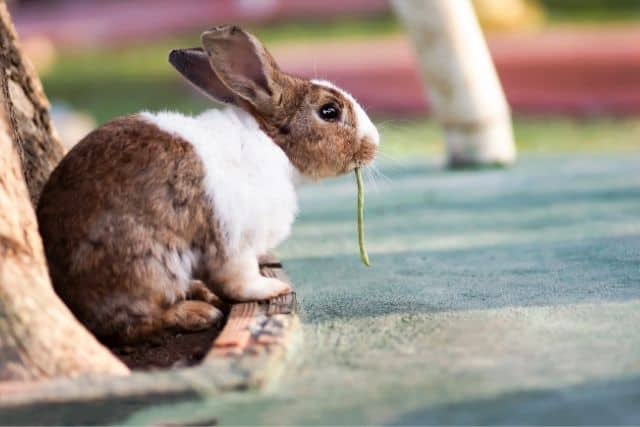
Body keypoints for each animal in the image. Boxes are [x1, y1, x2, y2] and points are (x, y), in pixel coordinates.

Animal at [36, 25, 379, 344]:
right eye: (329, 111)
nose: (374, 144)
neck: (274, 144)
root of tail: (65, 291)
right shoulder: (235, 242)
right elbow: (242, 280)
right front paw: (273, 287)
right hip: (146, 264)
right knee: (131, 323)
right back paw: (200, 312)